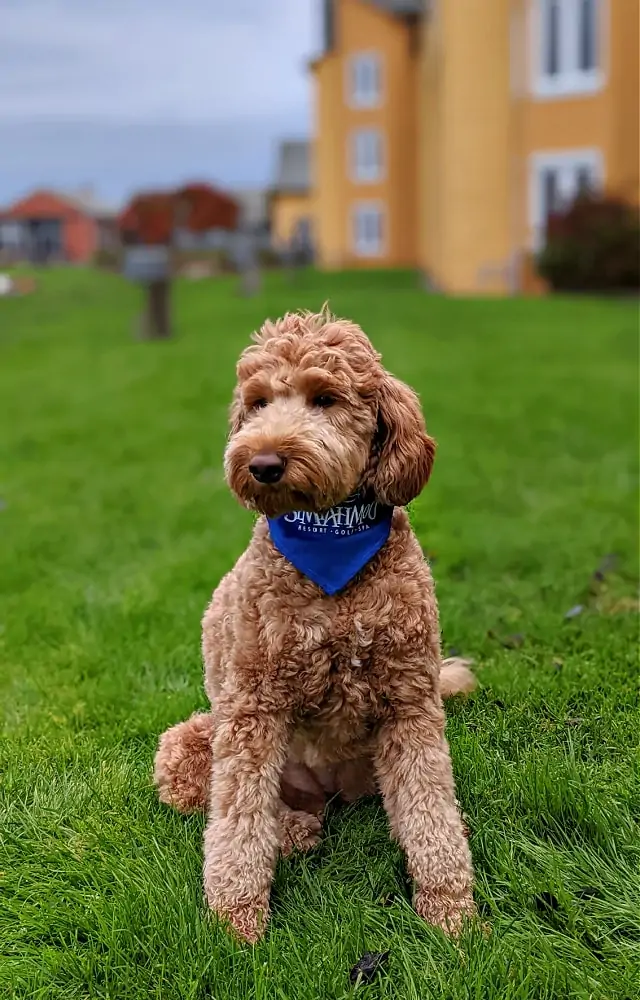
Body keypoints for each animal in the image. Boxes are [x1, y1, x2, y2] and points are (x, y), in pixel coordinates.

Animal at [154, 308, 476, 940]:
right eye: (257, 402)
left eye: (324, 398)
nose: (262, 463)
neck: (329, 544)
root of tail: (325, 795)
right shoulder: (251, 709)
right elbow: (238, 822)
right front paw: (235, 922)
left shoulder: (410, 703)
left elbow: (430, 809)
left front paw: (451, 911)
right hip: (193, 739)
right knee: (234, 803)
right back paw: (294, 833)